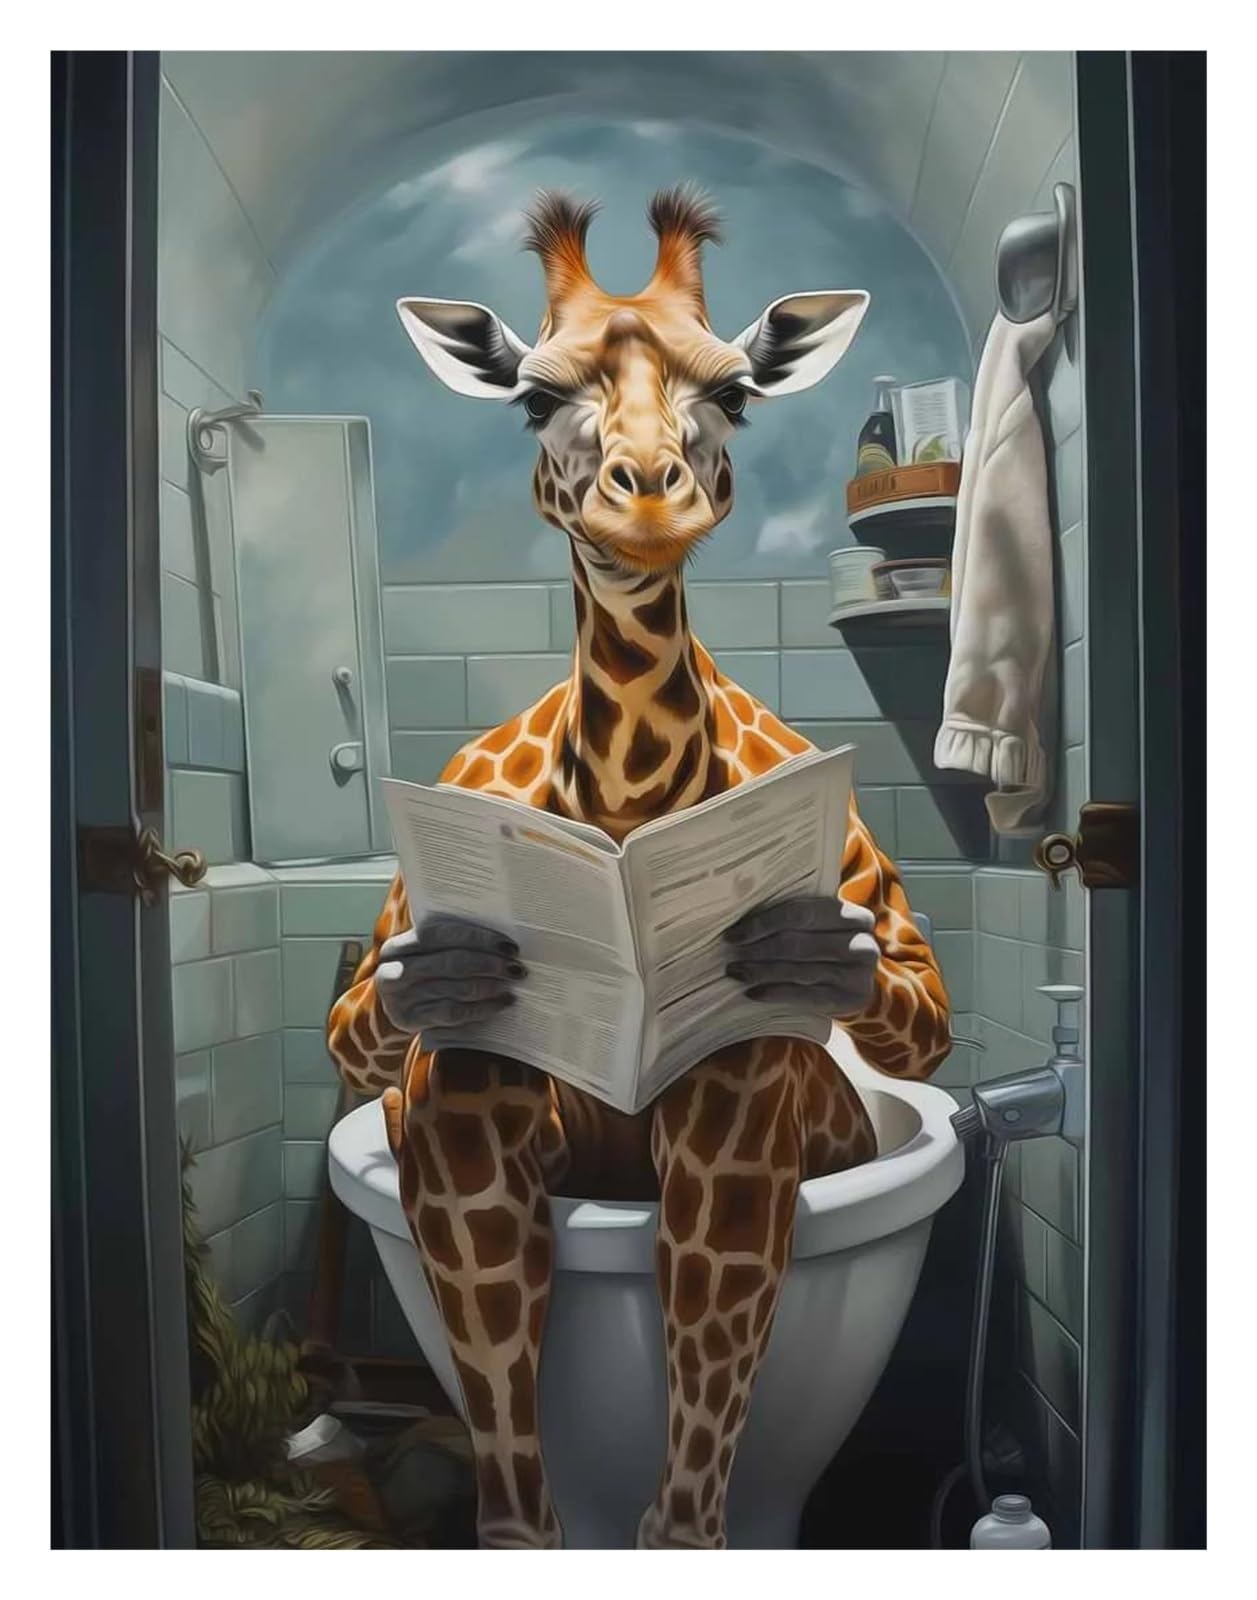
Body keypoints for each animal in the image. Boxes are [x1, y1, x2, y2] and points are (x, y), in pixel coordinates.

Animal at [327, 189, 952, 1549]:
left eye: (736, 392)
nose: (649, 496)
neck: (622, 802)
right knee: (461, 1067)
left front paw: (818, 950)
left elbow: (913, 988)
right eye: (531, 395)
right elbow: (366, 1012)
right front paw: (431, 972)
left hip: (763, 1092)